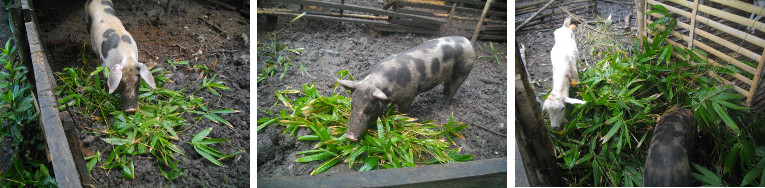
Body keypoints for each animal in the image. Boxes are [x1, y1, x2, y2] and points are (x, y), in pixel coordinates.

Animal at [338, 35, 474, 141]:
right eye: (352, 105)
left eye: (368, 109)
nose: (350, 136)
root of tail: (468, 42)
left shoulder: (409, 96)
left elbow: (403, 111)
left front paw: (400, 120)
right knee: (447, 84)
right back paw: (443, 94)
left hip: (464, 70)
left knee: (453, 89)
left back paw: (444, 106)